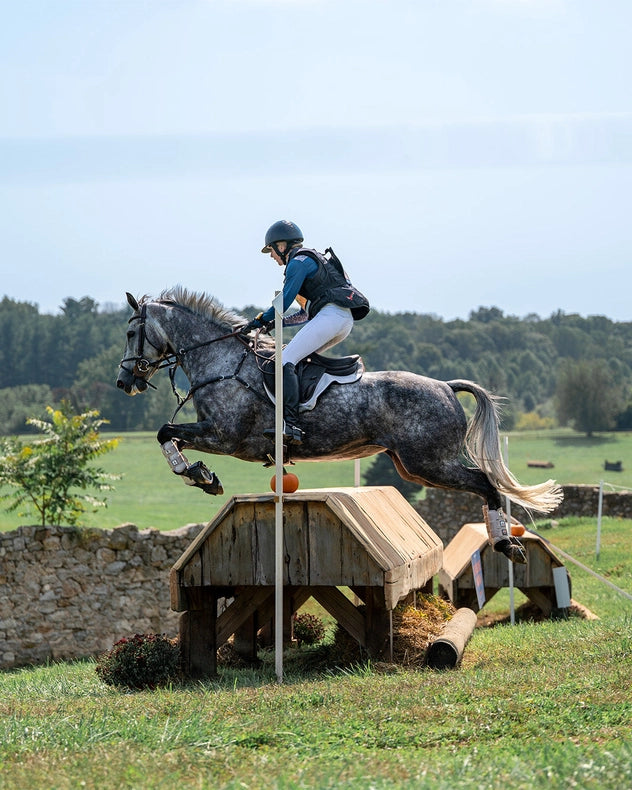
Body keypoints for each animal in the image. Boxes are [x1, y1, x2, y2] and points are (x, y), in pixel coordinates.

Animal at [116, 288, 560, 568]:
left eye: (131, 332)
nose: (124, 382)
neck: (221, 361)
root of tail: (445, 386)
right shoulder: (219, 435)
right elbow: (168, 433)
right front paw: (202, 475)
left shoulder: (225, 436)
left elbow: (164, 432)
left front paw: (198, 475)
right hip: (412, 466)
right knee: (484, 483)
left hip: (430, 461)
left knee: (485, 482)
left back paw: (506, 544)